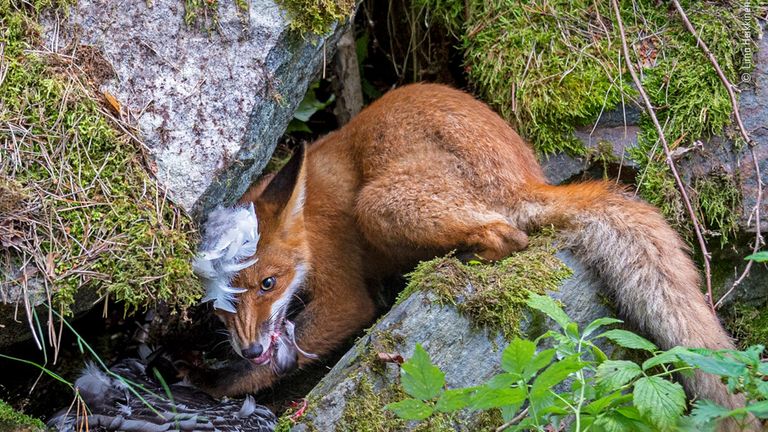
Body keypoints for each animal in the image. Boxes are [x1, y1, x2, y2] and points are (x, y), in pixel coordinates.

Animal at [194, 82, 744, 410]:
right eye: (221, 306)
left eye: (269, 283)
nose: (250, 347)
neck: (310, 219)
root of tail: (525, 177)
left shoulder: (343, 293)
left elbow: (298, 344)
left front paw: (217, 382)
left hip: (379, 204)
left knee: (509, 235)